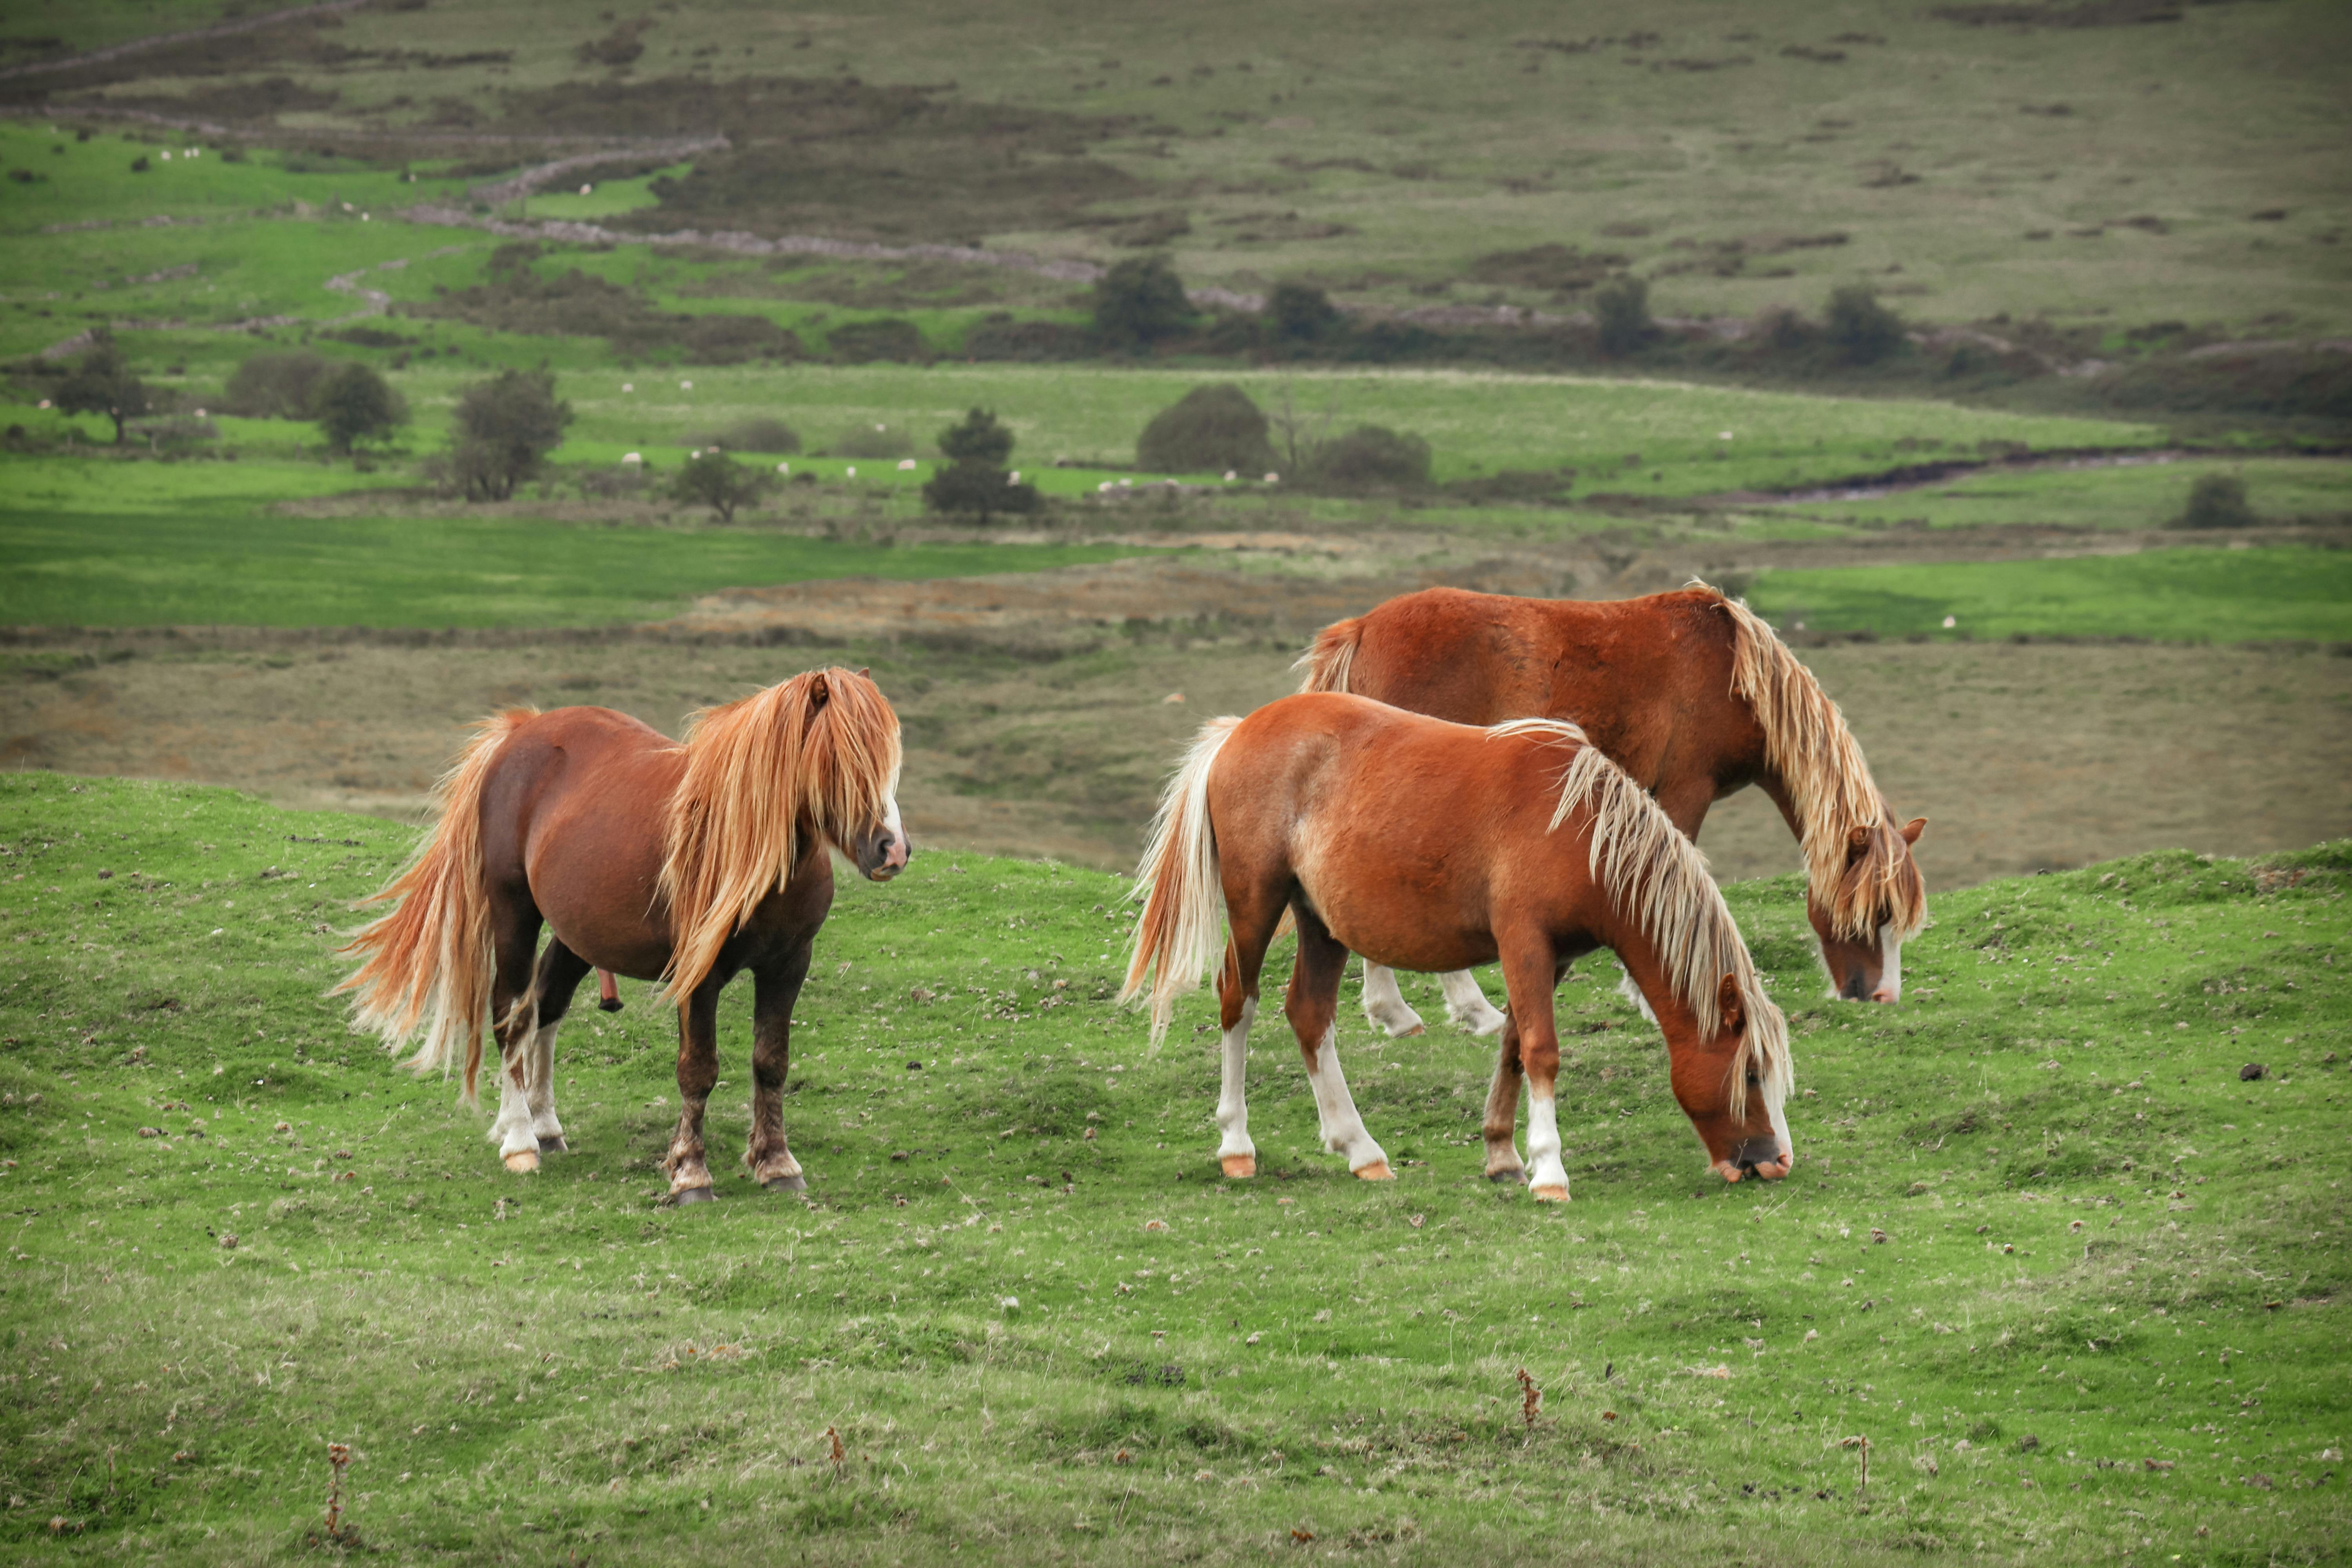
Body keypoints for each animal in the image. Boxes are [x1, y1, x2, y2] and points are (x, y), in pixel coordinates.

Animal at [334, 667, 907, 1203]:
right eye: (842, 756)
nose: (893, 849)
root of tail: (521, 732)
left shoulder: (788, 965)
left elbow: (771, 1063)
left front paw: (776, 1164)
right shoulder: (699, 974)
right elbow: (698, 1069)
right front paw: (690, 1174)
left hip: (578, 932)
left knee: (548, 1003)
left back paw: (545, 1127)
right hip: (513, 913)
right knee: (512, 1013)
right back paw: (520, 1140)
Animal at [1120, 693, 1793, 1197]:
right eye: (1751, 1073)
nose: (1775, 1161)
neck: (1581, 828)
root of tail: (1239, 731)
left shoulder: (1552, 959)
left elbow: (1514, 1045)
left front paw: (1502, 1155)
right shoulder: (1524, 943)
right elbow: (1543, 1050)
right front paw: (1550, 1171)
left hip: (1321, 924)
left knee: (1310, 1016)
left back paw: (1360, 1149)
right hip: (1255, 904)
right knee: (1238, 1002)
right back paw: (1237, 1144)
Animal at [1296, 584, 1925, 1038]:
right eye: (1875, 912)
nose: (1882, 996)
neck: (1735, 673)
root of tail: (1361, 629)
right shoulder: (1685, 791)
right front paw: (1649, 998)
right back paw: (1419, 1011)